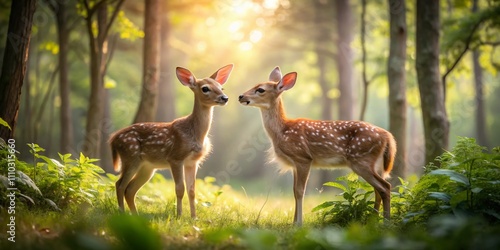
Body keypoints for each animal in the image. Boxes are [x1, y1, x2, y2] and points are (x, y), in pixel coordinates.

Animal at [108, 65, 233, 219]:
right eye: (205, 88)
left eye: (221, 87)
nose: (224, 98)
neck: (196, 135)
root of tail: (113, 139)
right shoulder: (175, 157)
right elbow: (180, 188)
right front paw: (179, 216)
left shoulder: (192, 162)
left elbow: (192, 191)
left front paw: (194, 218)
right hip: (130, 156)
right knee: (120, 185)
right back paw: (122, 214)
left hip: (147, 167)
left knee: (130, 189)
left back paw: (135, 216)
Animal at [239, 67, 398, 226]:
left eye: (260, 89)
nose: (241, 96)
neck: (282, 131)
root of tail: (387, 136)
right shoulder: (294, 164)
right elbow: (294, 191)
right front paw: (293, 222)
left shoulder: (303, 157)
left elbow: (300, 191)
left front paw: (299, 224)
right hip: (375, 164)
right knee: (378, 189)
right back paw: (374, 220)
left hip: (361, 159)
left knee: (385, 187)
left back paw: (386, 222)